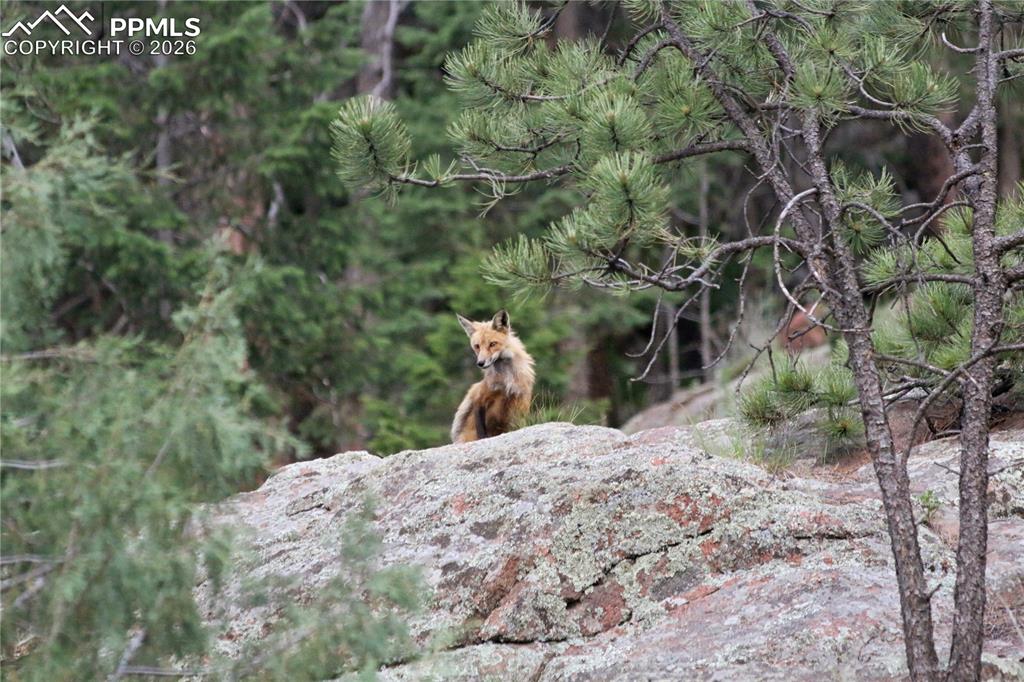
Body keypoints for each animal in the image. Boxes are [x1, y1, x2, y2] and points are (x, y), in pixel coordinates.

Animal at [451, 309, 535, 444]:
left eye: (492, 344)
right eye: (477, 346)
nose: (480, 363)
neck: (506, 381)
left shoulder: (521, 401)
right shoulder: (479, 399)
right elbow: (481, 432)